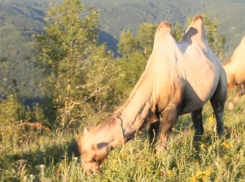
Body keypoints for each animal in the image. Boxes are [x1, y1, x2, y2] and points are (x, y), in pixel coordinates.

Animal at [77, 14, 227, 174]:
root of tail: (216, 58)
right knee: (198, 122)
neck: (155, 78)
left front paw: (162, 164)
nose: (89, 172)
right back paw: (196, 149)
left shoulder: (171, 110)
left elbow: (162, 144)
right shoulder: (152, 111)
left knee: (219, 112)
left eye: (92, 158)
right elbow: (151, 140)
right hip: (197, 100)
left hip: (221, 80)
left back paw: (220, 145)